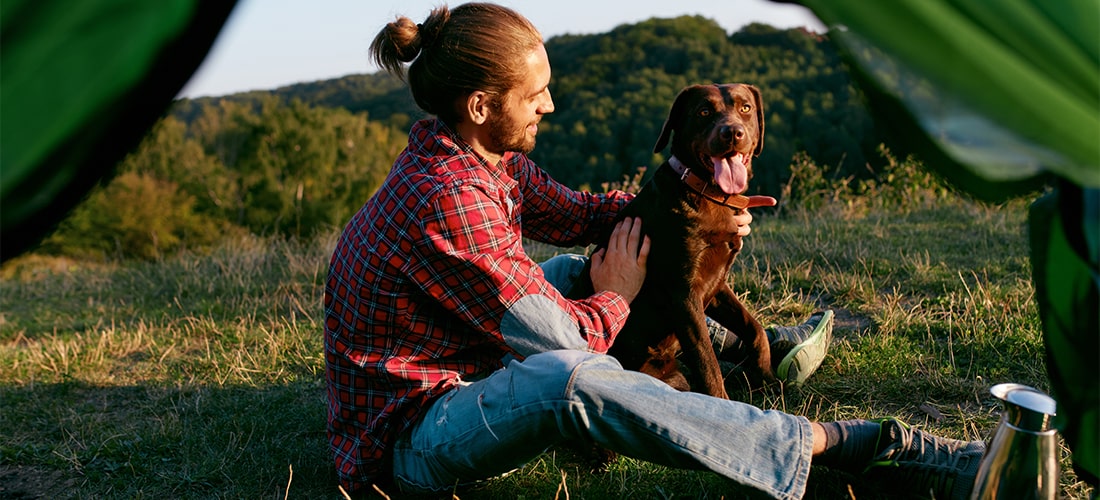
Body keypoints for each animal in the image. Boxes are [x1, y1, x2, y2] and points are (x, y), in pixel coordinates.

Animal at [567, 82, 774, 400]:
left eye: (746, 108)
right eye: (704, 111)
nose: (732, 132)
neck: (708, 194)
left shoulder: (716, 284)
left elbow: (754, 328)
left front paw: (767, 377)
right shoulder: (684, 294)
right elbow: (707, 363)